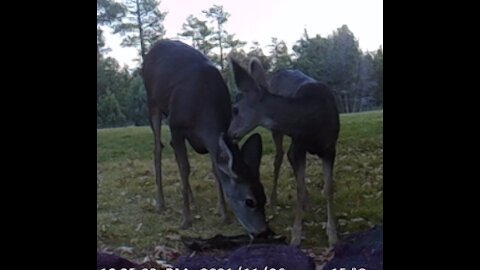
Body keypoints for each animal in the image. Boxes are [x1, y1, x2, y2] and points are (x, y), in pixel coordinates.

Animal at [142, 40, 270, 236]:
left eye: (264, 196)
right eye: (250, 201)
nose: (263, 231)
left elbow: (216, 169)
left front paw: (223, 213)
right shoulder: (176, 126)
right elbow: (185, 168)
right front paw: (186, 219)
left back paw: (192, 199)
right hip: (153, 102)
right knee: (158, 147)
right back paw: (161, 203)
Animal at [230, 58, 340, 246]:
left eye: (235, 109)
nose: (228, 133)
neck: (313, 120)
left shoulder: (330, 148)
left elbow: (328, 188)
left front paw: (332, 235)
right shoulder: (300, 144)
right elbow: (299, 188)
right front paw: (296, 235)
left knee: (287, 156)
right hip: (278, 132)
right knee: (280, 157)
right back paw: (274, 201)